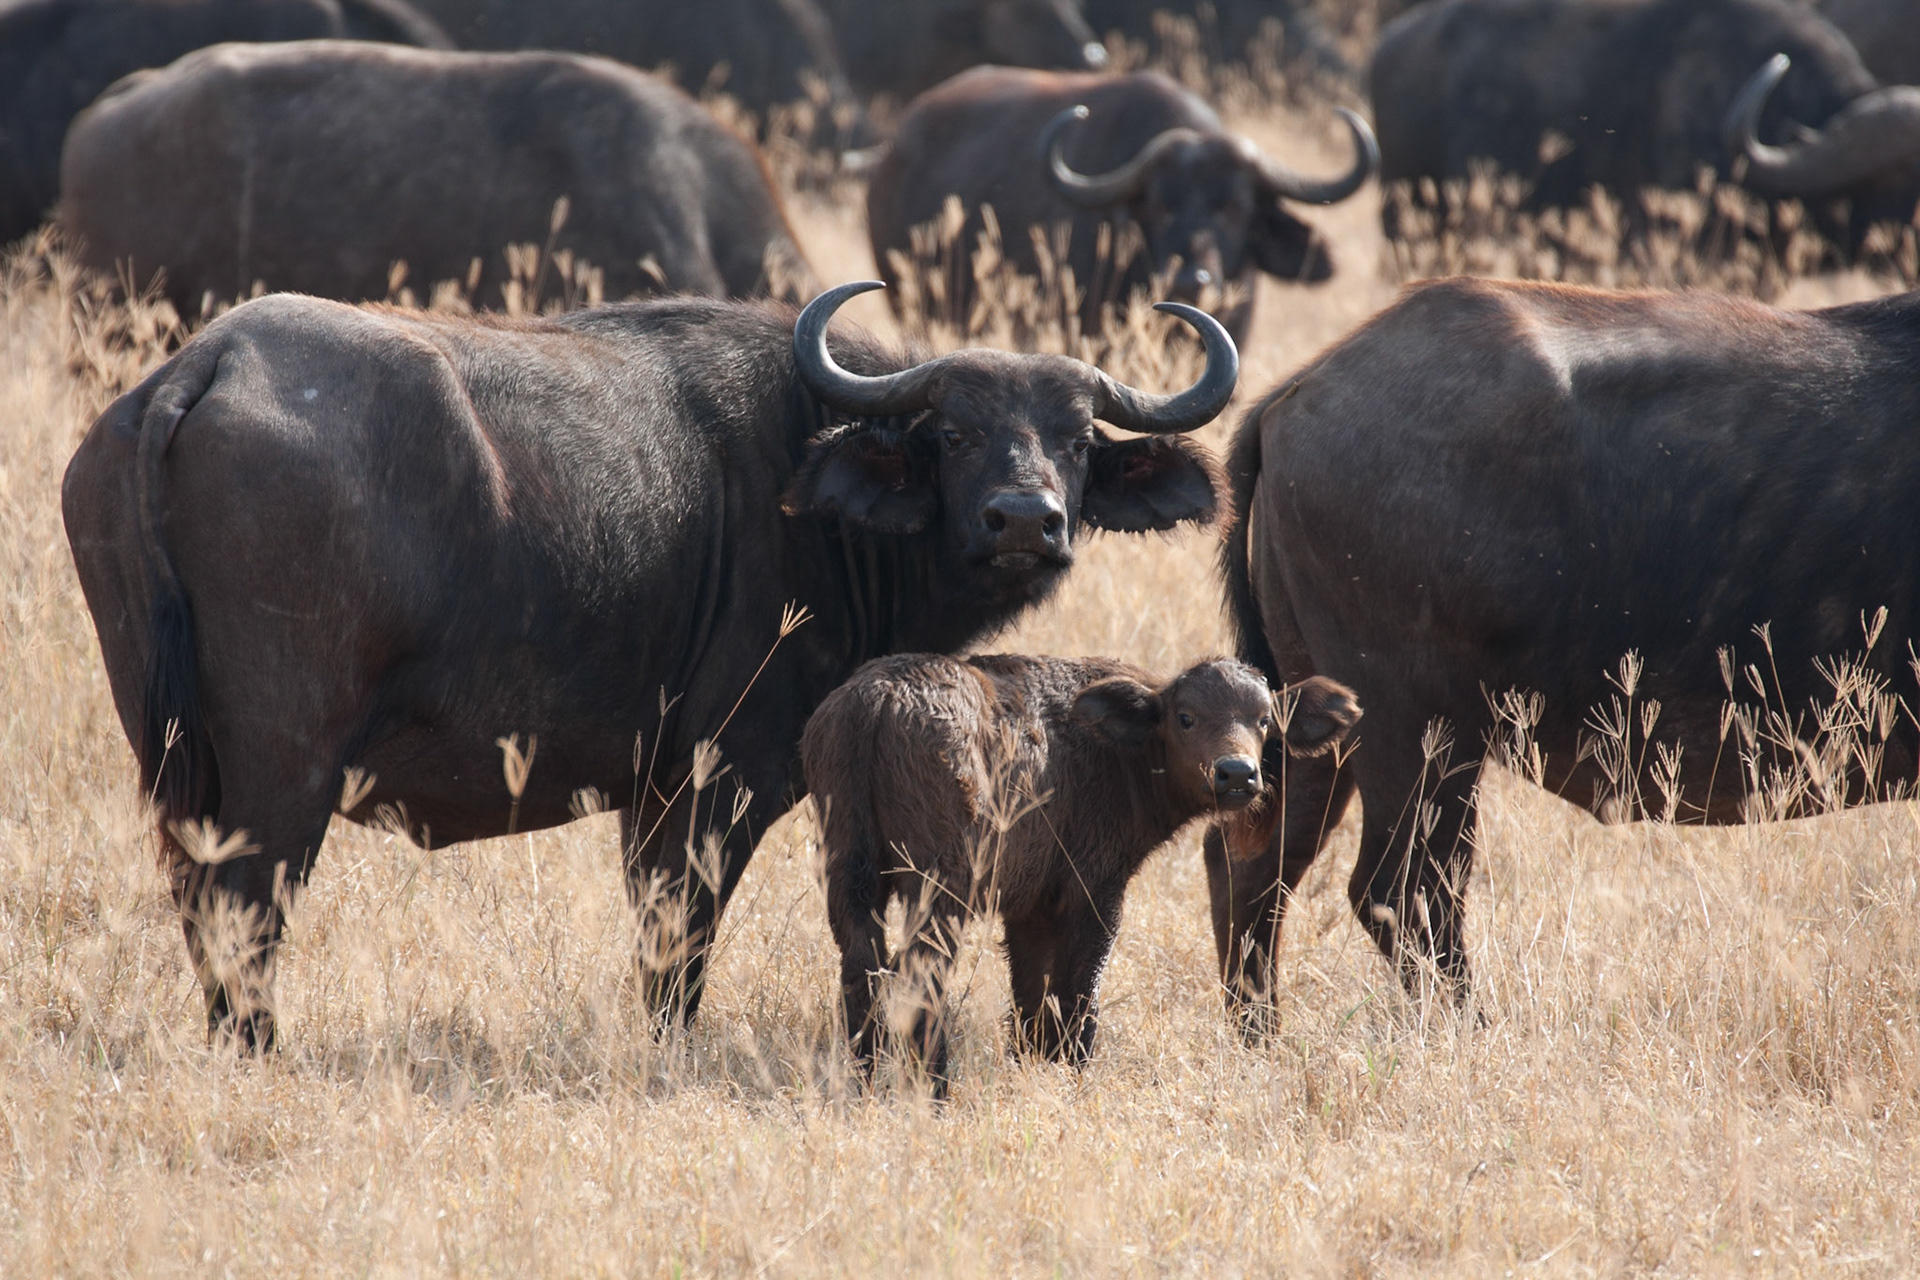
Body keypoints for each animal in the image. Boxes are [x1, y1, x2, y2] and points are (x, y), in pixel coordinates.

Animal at [62, 279, 1237, 1047]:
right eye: (950, 432)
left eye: (1077, 437)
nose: (1024, 519)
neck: (806, 481)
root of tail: (206, 365)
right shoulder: (716, 780)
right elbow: (682, 939)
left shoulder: (651, 789)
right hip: (281, 773)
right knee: (245, 911)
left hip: (177, 760)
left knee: (201, 906)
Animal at [806, 653, 1358, 1091]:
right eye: (1185, 717)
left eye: (1265, 720)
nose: (1238, 774)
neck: (1115, 751)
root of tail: (876, 699)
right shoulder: (1094, 888)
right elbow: (1080, 986)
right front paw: (1073, 1068)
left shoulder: (1029, 908)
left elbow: (1031, 996)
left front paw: (1033, 1064)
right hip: (940, 886)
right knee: (921, 973)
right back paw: (935, 1085)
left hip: (848, 870)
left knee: (861, 968)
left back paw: (864, 1076)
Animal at [1211, 277, 1920, 1030]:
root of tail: (1294, 393)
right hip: (1419, 733)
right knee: (1403, 890)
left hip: (1314, 727)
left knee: (1251, 863)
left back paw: (1261, 1036)